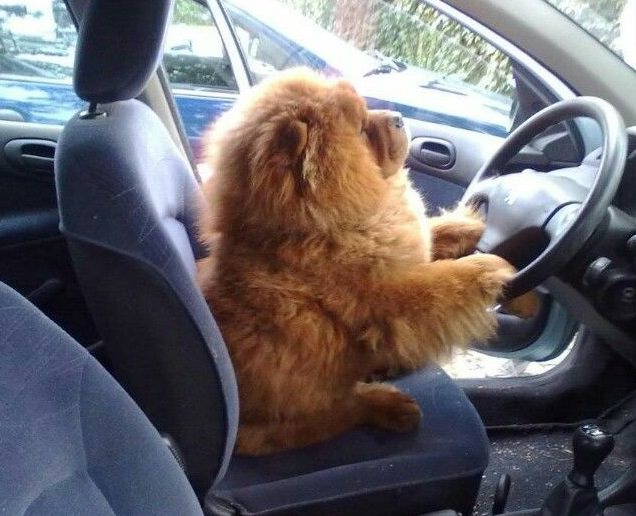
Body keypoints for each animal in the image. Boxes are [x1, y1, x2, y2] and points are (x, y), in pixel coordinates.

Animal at [198, 66, 532, 454]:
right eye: (360, 129)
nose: (399, 117)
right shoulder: (389, 297)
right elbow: (446, 280)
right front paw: (493, 267)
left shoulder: (409, 247)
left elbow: (444, 232)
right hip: (285, 417)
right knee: (341, 411)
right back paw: (390, 406)